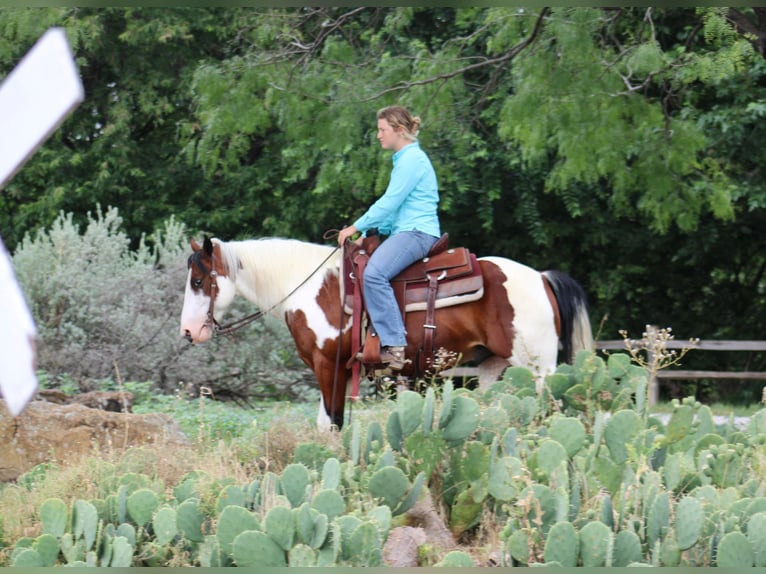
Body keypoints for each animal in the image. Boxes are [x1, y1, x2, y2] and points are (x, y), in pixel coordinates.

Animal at [180, 236, 592, 430]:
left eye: (198, 281)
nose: (188, 331)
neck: (312, 288)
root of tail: (541, 278)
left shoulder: (328, 366)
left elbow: (332, 424)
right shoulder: (335, 371)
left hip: (539, 369)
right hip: (495, 368)